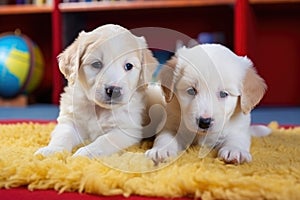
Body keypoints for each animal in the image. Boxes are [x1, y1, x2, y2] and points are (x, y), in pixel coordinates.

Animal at [34, 23, 157, 158]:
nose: (114, 90)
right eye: (96, 64)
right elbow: (63, 135)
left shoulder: (127, 130)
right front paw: (52, 150)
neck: (98, 109)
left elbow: (104, 140)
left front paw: (86, 153)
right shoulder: (70, 121)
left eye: (128, 66)